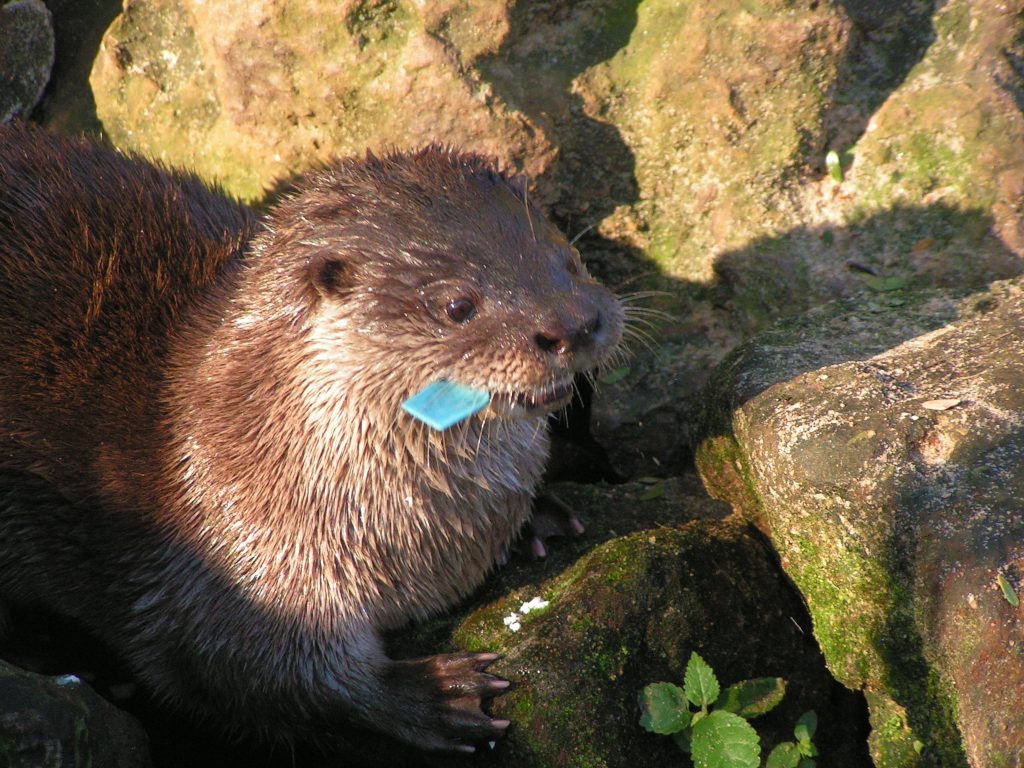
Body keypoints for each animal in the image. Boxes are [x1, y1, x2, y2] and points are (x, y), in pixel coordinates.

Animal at [0, 123, 622, 753]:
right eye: (457, 305)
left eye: (570, 261)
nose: (573, 324)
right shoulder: (229, 565)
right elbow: (247, 669)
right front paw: (429, 695)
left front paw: (539, 516)